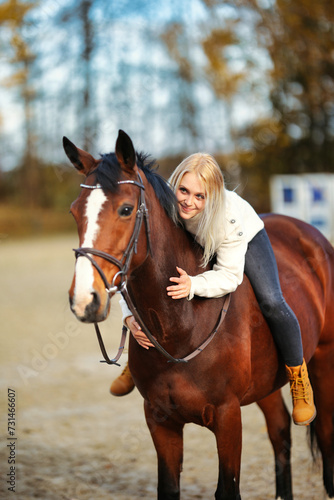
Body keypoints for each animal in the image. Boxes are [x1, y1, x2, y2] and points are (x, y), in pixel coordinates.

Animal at [63, 131, 334, 498]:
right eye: (75, 211)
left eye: (126, 209)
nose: (84, 299)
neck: (181, 325)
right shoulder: (159, 420)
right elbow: (168, 487)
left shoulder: (228, 417)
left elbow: (227, 489)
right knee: (280, 435)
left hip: (323, 360)